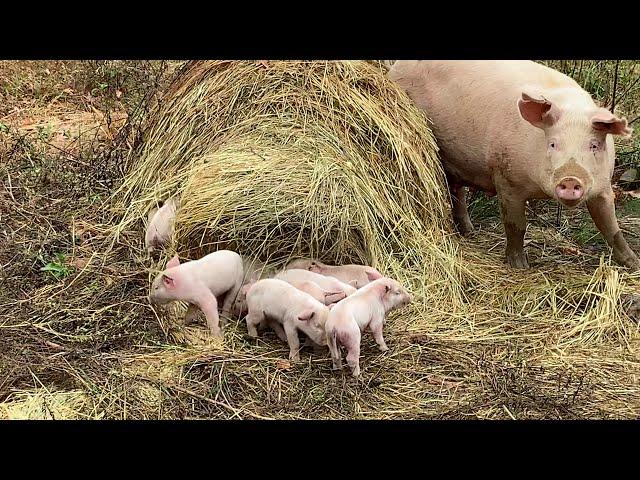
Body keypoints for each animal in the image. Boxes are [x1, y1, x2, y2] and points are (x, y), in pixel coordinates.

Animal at [388, 60, 636, 270]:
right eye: (553, 144)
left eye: (594, 145)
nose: (570, 178)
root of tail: (395, 68)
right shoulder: (507, 179)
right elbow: (516, 225)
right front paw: (520, 266)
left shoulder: (604, 186)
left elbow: (611, 226)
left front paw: (633, 263)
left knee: (457, 193)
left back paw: (470, 233)